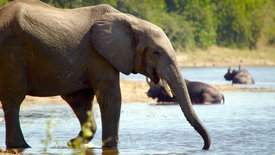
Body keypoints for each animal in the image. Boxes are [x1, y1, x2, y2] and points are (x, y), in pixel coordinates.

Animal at [0, 0, 211, 150]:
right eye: (156, 53)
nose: (204, 147)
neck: (130, 20)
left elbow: (80, 99)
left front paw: (72, 143)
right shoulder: (98, 55)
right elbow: (110, 97)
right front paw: (110, 147)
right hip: (11, 53)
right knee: (13, 99)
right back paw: (21, 146)